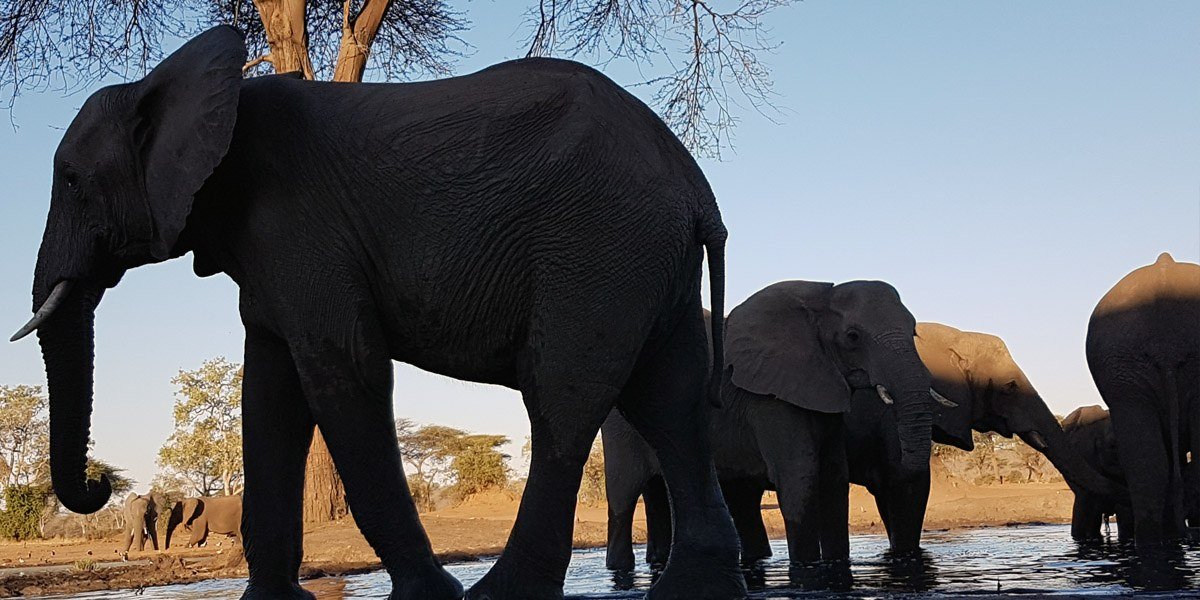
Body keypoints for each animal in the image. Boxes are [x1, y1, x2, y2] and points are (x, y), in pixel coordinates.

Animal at [11, 26, 744, 600]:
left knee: (562, 394)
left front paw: (430, 594)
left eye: (71, 180)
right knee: (672, 399)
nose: (100, 483)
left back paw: (496, 594)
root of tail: (697, 187)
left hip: (596, 244)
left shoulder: (303, 232)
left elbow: (345, 375)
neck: (170, 82)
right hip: (644, 262)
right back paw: (695, 589)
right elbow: (268, 396)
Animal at [604, 280, 937, 569]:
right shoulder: (770, 400)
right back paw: (619, 568)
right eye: (853, 336)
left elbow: (834, 478)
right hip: (620, 429)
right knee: (623, 497)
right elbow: (799, 477)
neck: (819, 302)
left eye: (914, 331)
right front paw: (806, 566)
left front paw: (834, 564)